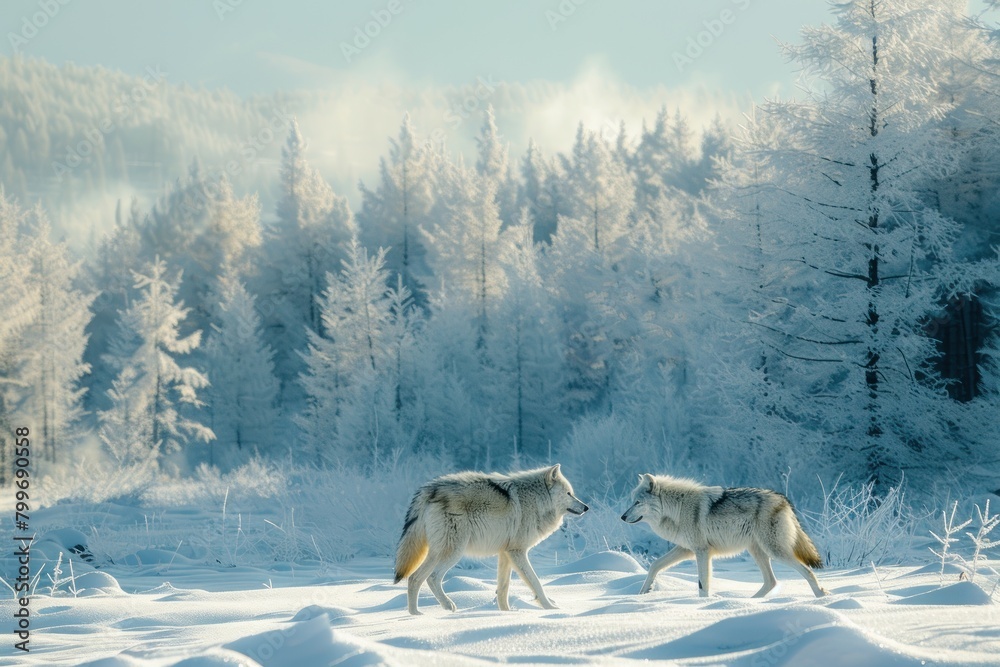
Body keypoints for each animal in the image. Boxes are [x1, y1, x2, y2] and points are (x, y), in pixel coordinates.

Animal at [394, 464, 589, 615]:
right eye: (569, 493)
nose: (586, 507)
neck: (536, 500)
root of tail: (429, 489)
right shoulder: (517, 552)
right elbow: (536, 582)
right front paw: (550, 608)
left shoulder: (505, 554)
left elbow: (503, 589)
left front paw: (505, 613)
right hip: (454, 552)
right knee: (432, 578)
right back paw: (448, 606)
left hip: (436, 552)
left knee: (414, 579)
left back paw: (416, 614)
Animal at [621, 474, 828, 598]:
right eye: (632, 502)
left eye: (637, 502)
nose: (622, 517)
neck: (677, 508)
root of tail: (783, 500)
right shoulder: (686, 550)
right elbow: (654, 565)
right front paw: (643, 592)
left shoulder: (702, 552)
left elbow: (703, 584)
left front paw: (702, 605)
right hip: (758, 551)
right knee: (771, 582)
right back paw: (749, 603)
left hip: (775, 551)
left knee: (807, 571)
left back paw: (821, 596)